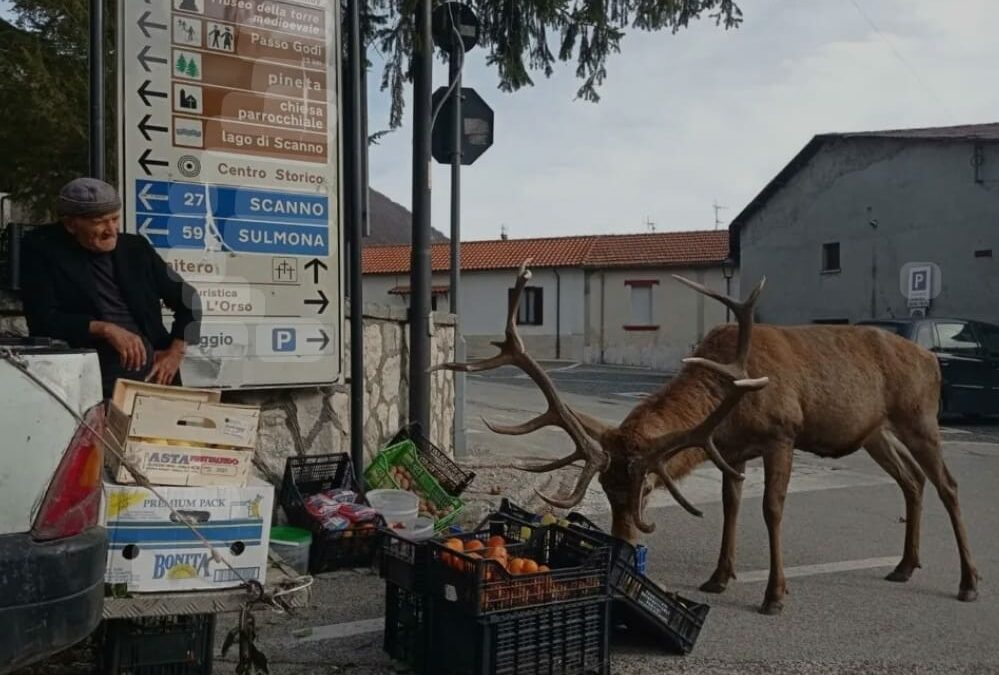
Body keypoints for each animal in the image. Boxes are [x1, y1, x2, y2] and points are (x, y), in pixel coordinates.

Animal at [436, 262, 976, 616]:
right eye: (605, 490)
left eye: (647, 489)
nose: (623, 548)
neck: (731, 403)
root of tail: (931, 360)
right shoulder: (732, 450)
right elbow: (731, 506)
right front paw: (718, 578)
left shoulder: (782, 434)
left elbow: (771, 509)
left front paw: (774, 595)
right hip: (875, 432)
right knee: (912, 482)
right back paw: (905, 565)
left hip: (919, 417)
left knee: (948, 484)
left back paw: (969, 582)